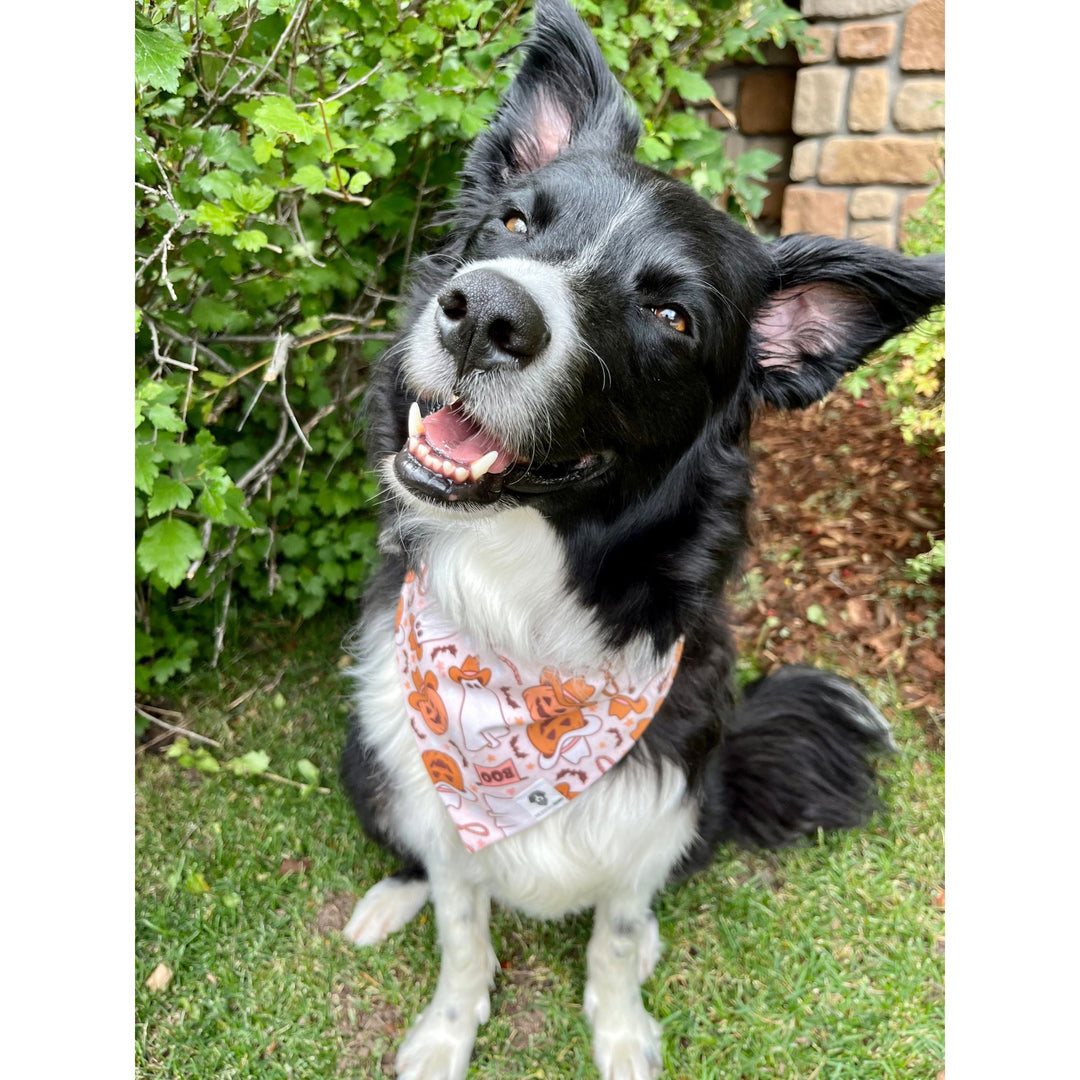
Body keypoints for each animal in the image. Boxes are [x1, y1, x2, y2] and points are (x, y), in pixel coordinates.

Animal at [339, 4, 946, 1075]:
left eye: (670, 314)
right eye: (514, 223)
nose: (483, 313)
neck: (523, 603)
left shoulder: (656, 811)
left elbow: (616, 939)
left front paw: (621, 1033)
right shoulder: (439, 806)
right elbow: (460, 928)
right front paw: (446, 1031)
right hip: (365, 762)